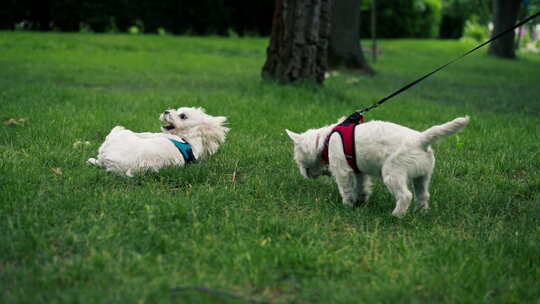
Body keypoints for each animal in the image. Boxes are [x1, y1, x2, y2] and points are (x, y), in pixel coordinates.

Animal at [86, 107, 228, 177]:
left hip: (121, 133)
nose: (166, 111)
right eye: (176, 109)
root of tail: (109, 157)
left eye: (183, 116)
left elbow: (146, 134)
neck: (187, 140)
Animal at [286, 115, 468, 217]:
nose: (303, 174)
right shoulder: (359, 171)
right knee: (423, 195)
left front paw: (347, 206)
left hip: (392, 173)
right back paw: (421, 213)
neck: (325, 141)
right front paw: (360, 201)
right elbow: (362, 186)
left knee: (405, 195)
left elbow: (346, 188)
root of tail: (420, 140)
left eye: (298, 160)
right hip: (422, 176)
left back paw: (396, 216)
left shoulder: (342, 170)